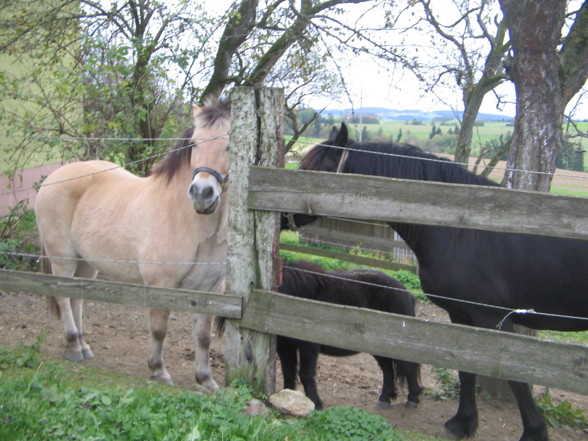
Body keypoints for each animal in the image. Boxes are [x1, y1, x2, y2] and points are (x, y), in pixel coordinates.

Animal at [35, 96, 232, 388]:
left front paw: (206, 380)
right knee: (63, 297)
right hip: (63, 258)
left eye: (230, 145)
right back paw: (73, 346)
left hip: (87, 263)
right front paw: (158, 370)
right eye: (195, 143)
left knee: (77, 298)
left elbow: (203, 337)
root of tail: (55, 176)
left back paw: (83, 345)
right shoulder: (161, 283)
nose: (202, 193)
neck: (188, 220)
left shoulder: (207, 290)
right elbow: (159, 329)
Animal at [276, 258, 422, 410]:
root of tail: (405, 292)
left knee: (408, 367)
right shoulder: (284, 346)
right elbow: (288, 372)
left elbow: (305, 374)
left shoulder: (309, 345)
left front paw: (315, 404)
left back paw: (413, 398)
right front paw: (286, 398)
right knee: (387, 368)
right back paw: (385, 399)